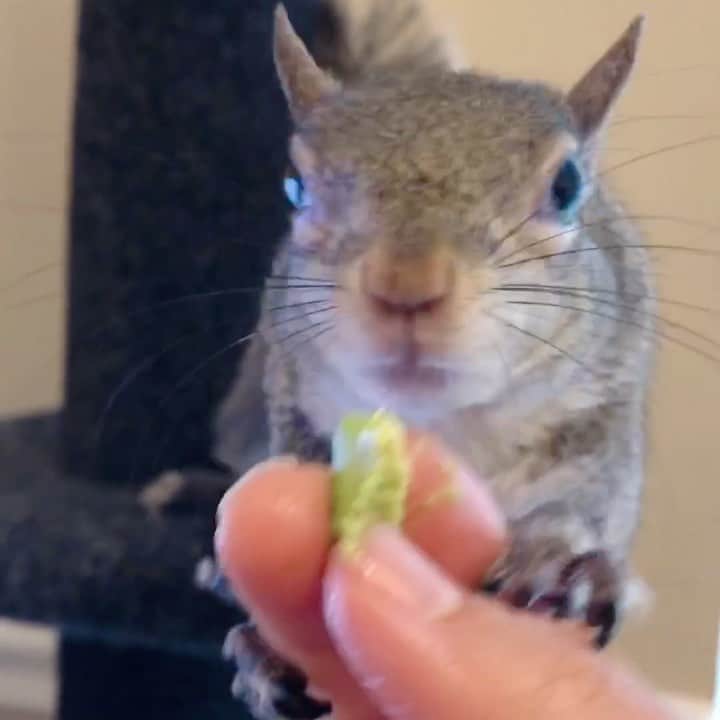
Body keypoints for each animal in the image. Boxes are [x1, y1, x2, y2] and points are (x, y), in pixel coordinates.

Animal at [148, 1, 656, 718]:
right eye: (295, 186)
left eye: (567, 185)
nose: (406, 286)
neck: (450, 429)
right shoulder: (291, 399)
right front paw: (259, 651)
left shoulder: (604, 408)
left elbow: (589, 504)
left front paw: (566, 565)